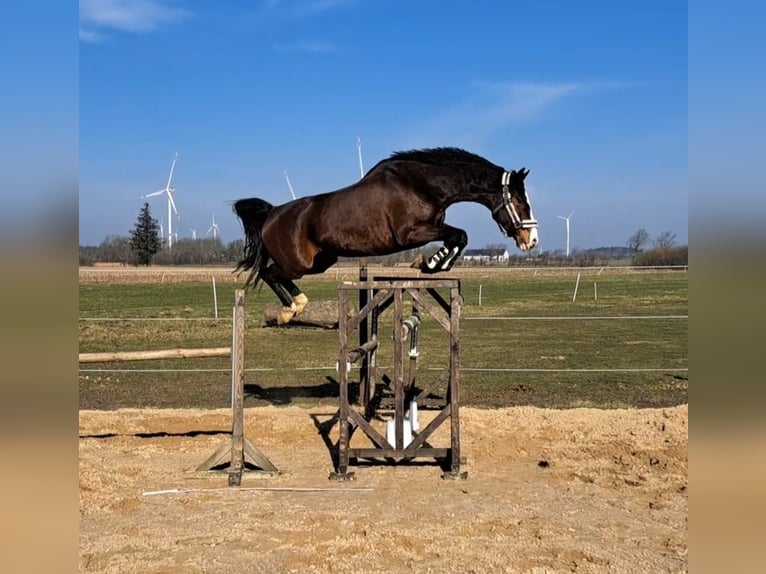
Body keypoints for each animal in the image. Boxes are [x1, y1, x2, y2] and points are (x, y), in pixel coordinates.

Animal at [233, 147, 539, 324]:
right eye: (519, 201)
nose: (531, 240)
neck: (424, 184)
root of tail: (273, 213)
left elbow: (458, 238)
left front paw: (431, 264)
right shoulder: (410, 233)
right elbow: (459, 236)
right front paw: (431, 263)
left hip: (321, 261)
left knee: (275, 274)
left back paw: (297, 305)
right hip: (299, 263)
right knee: (269, 272)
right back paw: (290, 310)